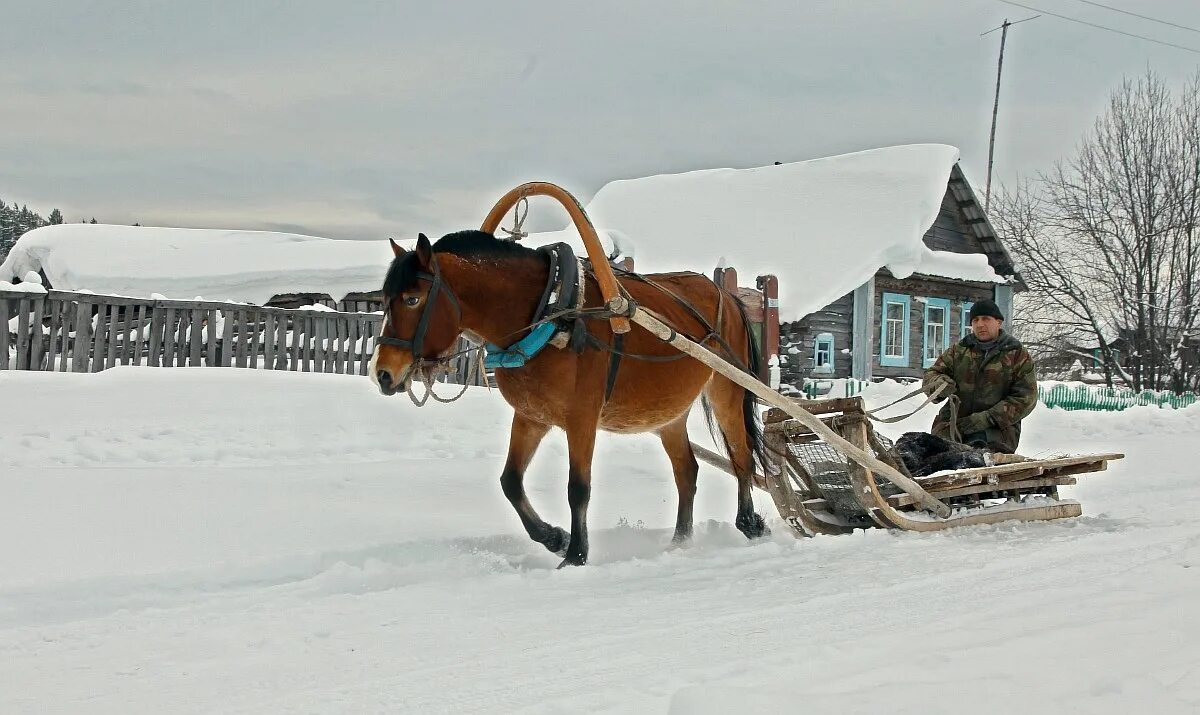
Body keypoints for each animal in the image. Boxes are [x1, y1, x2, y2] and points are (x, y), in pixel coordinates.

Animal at [372, 229, 768, 563]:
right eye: (385, 300)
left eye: (412, 298)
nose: (383, 373)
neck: (550, 311)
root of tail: (726, 294)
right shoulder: (530, 417)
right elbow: (510, 482)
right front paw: (554, 538)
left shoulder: (582, 419)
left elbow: (578, 488)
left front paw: (576, 554)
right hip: (669, 414)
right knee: (686, 471)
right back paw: (680, 542)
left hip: (727, 390)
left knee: (742, 459)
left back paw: (749, 523)